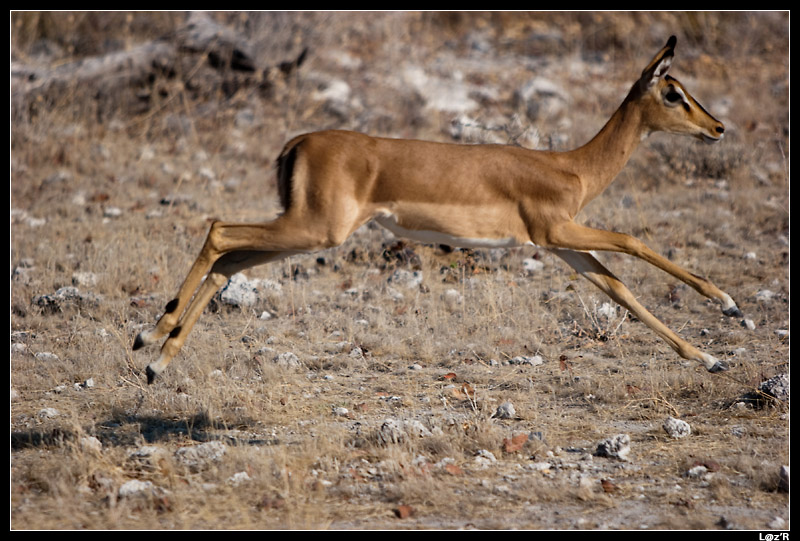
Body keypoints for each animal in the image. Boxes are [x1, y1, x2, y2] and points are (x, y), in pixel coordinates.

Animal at [134, 35, 739, 383]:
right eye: (673, 93)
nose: (717, 128)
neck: (573, 167)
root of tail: (296, 143)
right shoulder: (558, 229)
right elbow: (635, 243)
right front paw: (731, 304)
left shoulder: (564, 247)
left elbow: (621, 291)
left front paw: (711, 358)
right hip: (314, 229)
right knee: (219, 232)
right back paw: (149, 338)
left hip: (302, 231)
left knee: (227, 262)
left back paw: (156, 360)